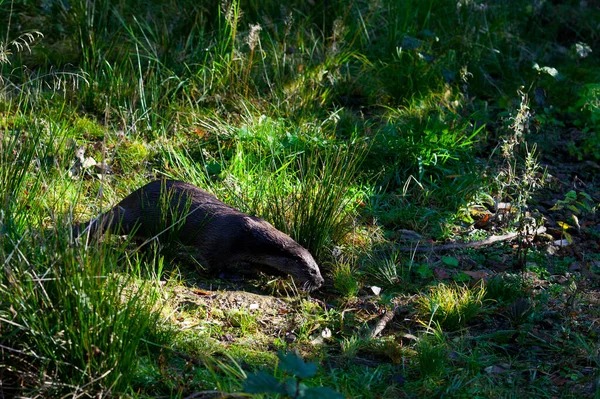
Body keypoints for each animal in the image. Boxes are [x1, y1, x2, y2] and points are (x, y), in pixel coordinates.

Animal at [77, 180, 326, 290]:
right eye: (312, 270)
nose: (321, 282)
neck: (251, 237)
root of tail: (133, 195)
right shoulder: (218, 242)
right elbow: (213, 266)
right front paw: (232, 275)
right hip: (135, 218)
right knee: (107, 220)